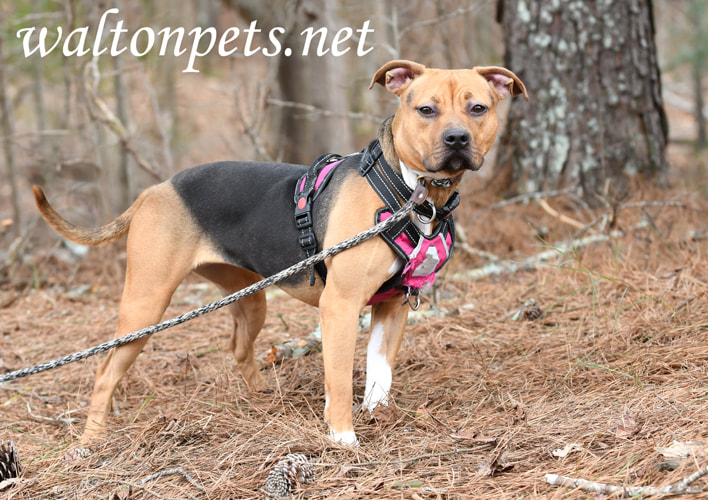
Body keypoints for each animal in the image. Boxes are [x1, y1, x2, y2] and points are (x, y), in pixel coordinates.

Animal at [36, 58, 528, 446]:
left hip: (251, 299)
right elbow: (338, 378)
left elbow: (379, 372)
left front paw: (378, 414)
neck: (415, 194)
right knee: (105, 371)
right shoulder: (340, 306)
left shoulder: (393, 306)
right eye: (426, 109)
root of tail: (154, 190)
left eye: (478, 108)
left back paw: (261, 398)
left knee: (239, 348)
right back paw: (92, 441)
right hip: (145, 305)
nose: (457, 139)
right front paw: (344, 438)